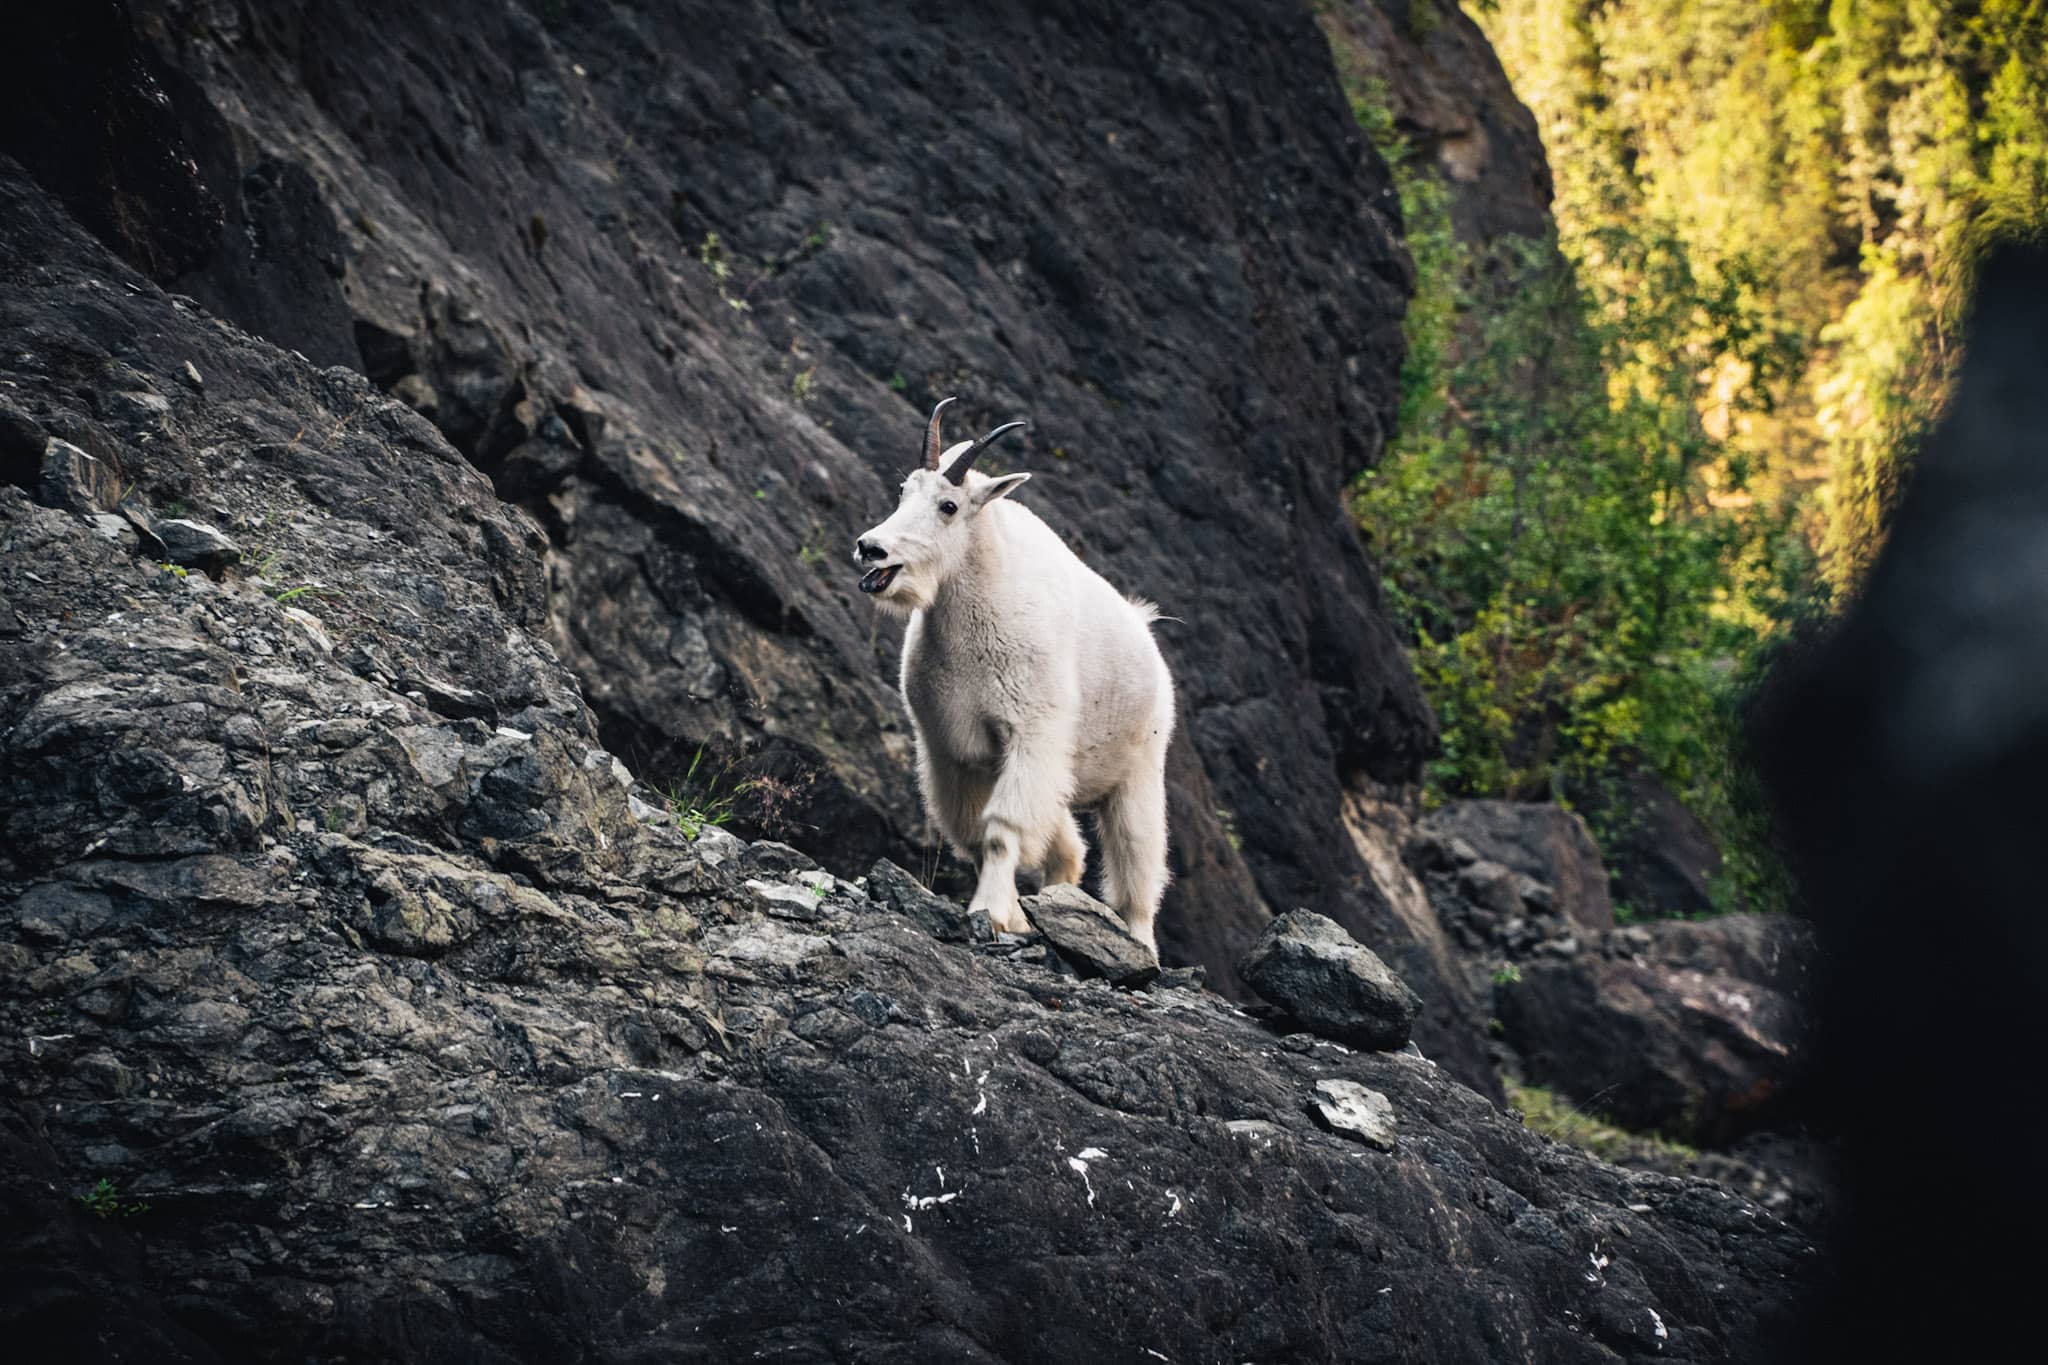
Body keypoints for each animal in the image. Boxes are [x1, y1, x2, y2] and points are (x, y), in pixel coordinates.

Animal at [854, 398, 1176, 951]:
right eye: (902, 491)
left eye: (949, 507)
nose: (871, 548)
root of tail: (1144, 629)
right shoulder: (951, 750)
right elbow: (975, 834)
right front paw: (1015, 917)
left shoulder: (1031, 733)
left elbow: (1002, 829)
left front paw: (994, 913)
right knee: (1070, 848)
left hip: (1139, 770)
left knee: (1138, 859)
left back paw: (1139, 941)